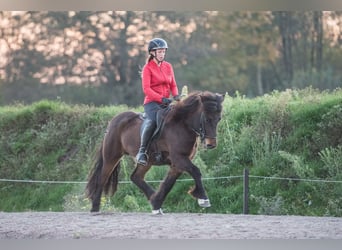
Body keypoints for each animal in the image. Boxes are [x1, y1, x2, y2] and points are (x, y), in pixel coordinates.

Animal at [85, 91, 224, 214]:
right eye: (207, 119)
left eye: (219, 119)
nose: (211, 144)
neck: (181, 125)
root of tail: (114, 121)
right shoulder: (179, 158)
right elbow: (196, 172)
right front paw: (203, 198)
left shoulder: (177, 164)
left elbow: (168, 184)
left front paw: (157, 204)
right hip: (112, 157)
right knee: (102, 178)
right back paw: (95, 207)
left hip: (147, 162)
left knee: (136, 177)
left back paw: (152, 197)